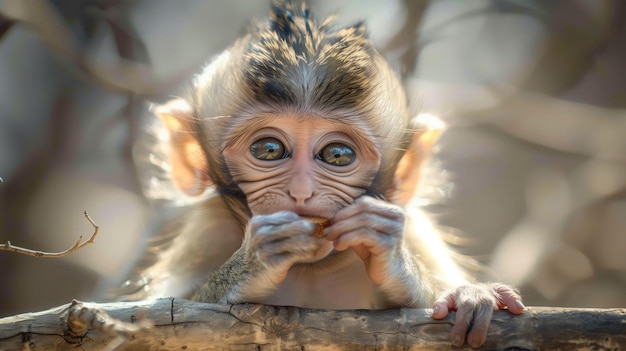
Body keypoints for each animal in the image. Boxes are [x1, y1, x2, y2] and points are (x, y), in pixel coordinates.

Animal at [124, 0, 524, 350]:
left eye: (337, 154)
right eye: (268, 149)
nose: (302, 192)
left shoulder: (416, 229)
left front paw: (459, 292)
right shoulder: (209, 230)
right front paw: (253, 262)